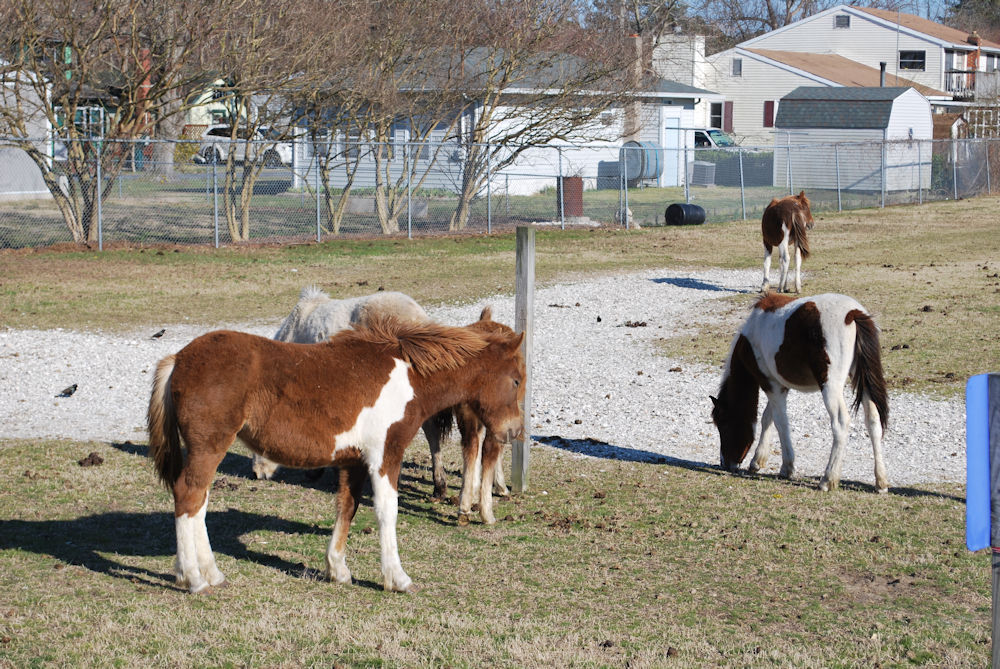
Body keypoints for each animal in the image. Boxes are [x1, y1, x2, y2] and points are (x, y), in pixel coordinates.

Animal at [147, 315, 525, 594]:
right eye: (517, 380)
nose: (514, 432)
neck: (408, 376)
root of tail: (178, 359)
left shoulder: (352, 459)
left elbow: (348, 506)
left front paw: (338, 570)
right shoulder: (386, 454)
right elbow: (387, 511)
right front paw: (397, 578)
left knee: (199, 503)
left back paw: (211, 573)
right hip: (209, 446)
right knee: (188, 495)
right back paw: (194, 579)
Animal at [710, 292, 889, 492]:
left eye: (723, 424)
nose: (726, 463)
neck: (750, 338)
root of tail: (853, 314)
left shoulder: (771, 384)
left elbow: (780, 422)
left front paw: (787, 467)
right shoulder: (779, 386)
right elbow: (767, 418)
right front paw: (757, 460)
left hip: (830, 385)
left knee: (840, 422)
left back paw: (828, 479)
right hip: (862, 380)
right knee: (873, 421)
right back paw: (881, 482)